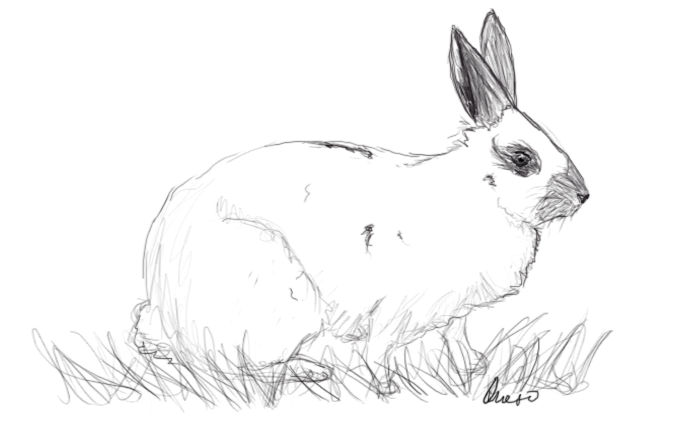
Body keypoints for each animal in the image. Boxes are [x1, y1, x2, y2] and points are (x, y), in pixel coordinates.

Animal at [131, 10, 589, 392]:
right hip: (281, 291)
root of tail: (164, 308)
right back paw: (308, 371)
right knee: (229, 366)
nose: (583, 195)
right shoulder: (394, 311)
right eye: (522, 159)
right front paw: (388, 390)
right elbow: (378, 351)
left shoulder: (452, 313)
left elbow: (452, 339)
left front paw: (472, 368)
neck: (478, 195)